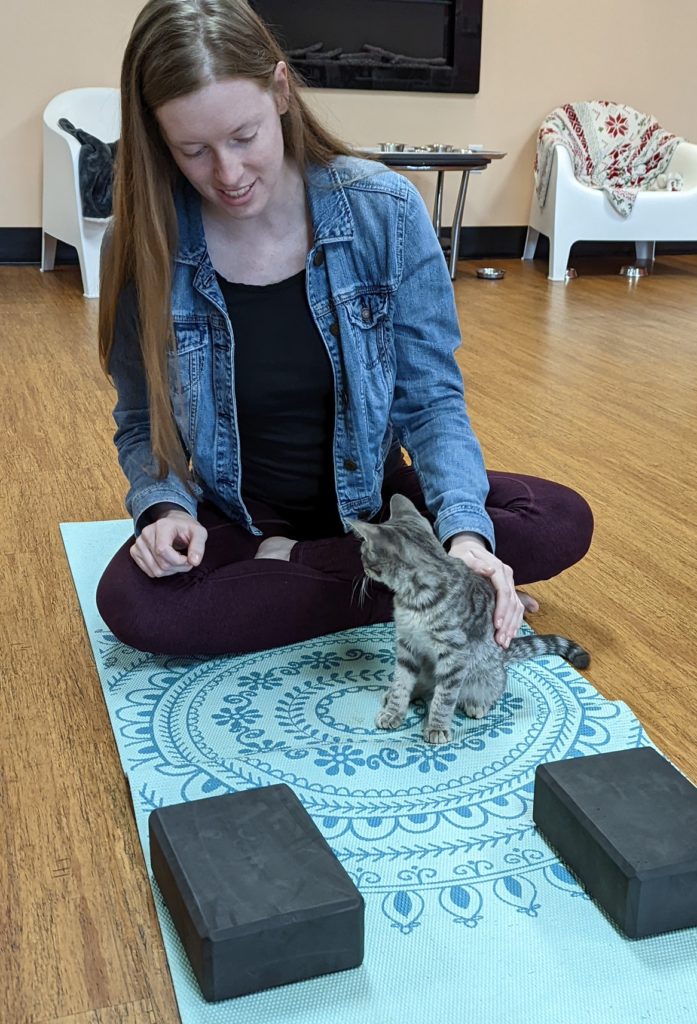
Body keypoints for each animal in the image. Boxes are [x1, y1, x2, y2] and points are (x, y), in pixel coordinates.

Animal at [347, 495, 585, 745]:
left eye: (363, 552)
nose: (361, 565)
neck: (414, 599)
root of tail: (503, 656)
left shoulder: (455, 654)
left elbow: (445, 697)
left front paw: (437, 727)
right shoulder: (406, 644)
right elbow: (402, 681)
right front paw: (394, 710)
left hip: (484, 673)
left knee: (492, 688)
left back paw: (477, 703)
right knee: (423, 685)